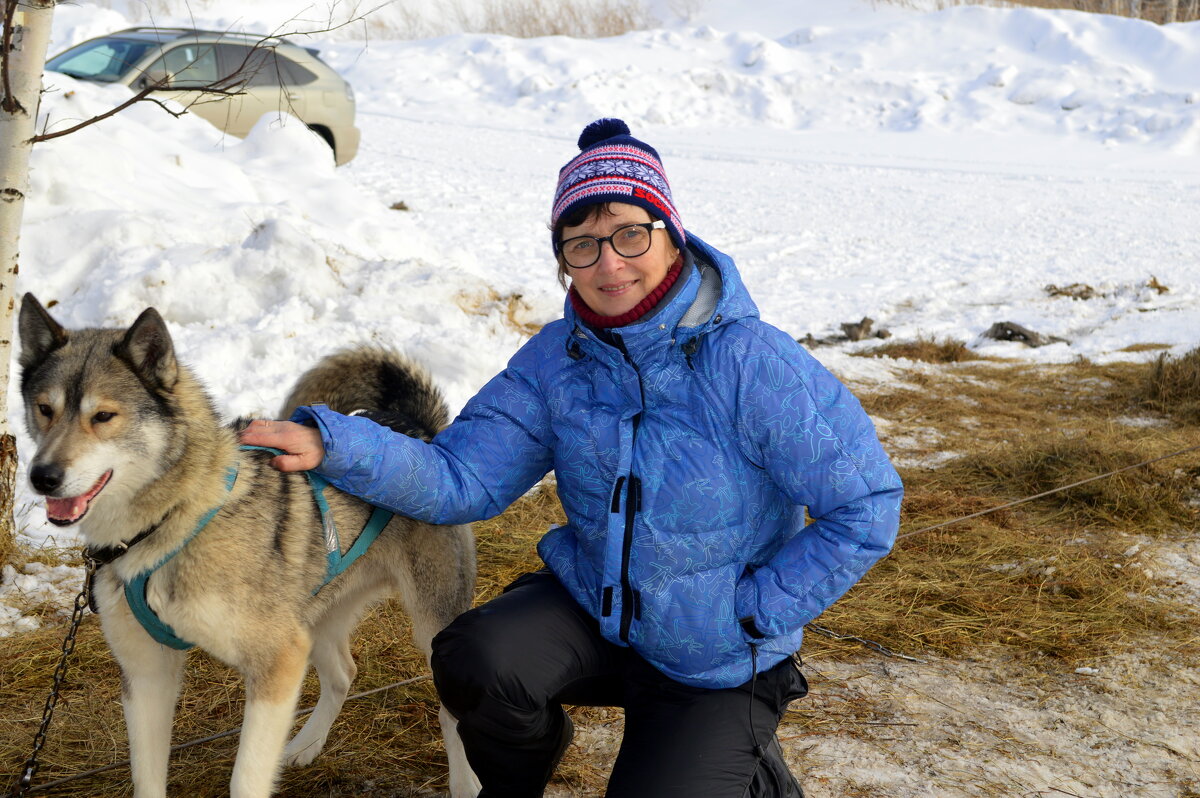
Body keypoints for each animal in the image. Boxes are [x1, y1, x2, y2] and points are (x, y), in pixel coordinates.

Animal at [16, 294, 480, 796]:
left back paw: (465, 783)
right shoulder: (147, 676)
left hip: (433, 628)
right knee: (343, 674)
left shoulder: (277, 663)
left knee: (452, 715)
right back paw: (305, 746)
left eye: (103, 416)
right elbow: (147, 779)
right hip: (316, 616)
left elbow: (247, 778)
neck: (171, 523)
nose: (41, 477)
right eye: (44, 409)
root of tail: (417, 429)